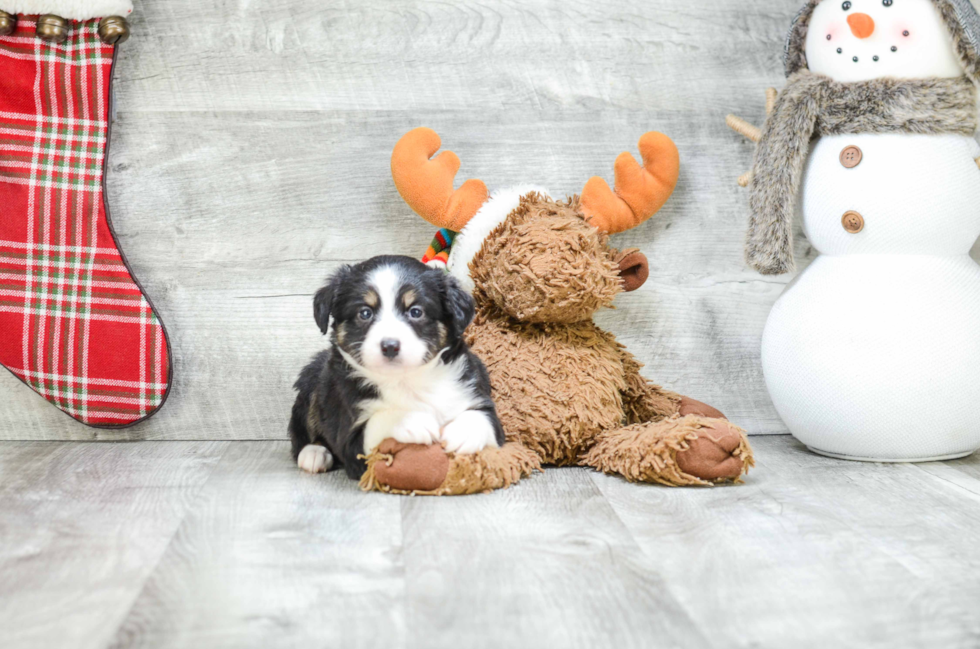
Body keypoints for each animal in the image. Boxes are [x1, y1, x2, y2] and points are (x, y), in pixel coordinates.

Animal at [290, 253, 506, 476]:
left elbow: (483, 418)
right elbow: (377, 422)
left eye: (416, 312)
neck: (406, 379)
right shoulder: (349, 441)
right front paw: (412, 420)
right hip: (311, 383)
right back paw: (314, 453)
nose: (390, 346)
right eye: (365, 313)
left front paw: (463, 432)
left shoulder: (478, 397)